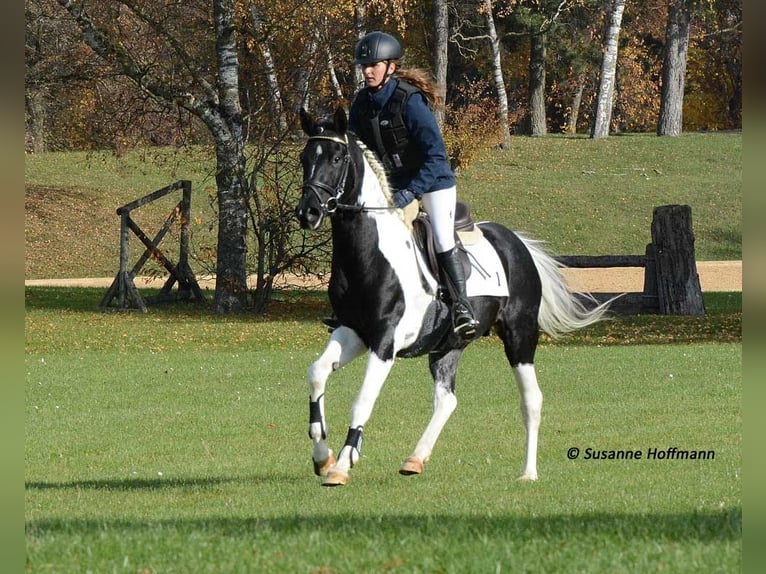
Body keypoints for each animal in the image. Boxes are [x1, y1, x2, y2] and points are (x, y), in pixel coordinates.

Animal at [295, 106, 613, 487]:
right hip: (447, 346)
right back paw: (415, 458)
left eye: (337, 157)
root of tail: (517, 243)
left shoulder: (386, 341)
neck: (368, 253)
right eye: (304, 158)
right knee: (446, 401)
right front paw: (322, 457)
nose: (308, 212)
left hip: (520, 336)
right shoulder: (353, 332)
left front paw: (342, 465)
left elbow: (362, 401)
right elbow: (316, 373)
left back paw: (528, 472)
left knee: (531, 400)